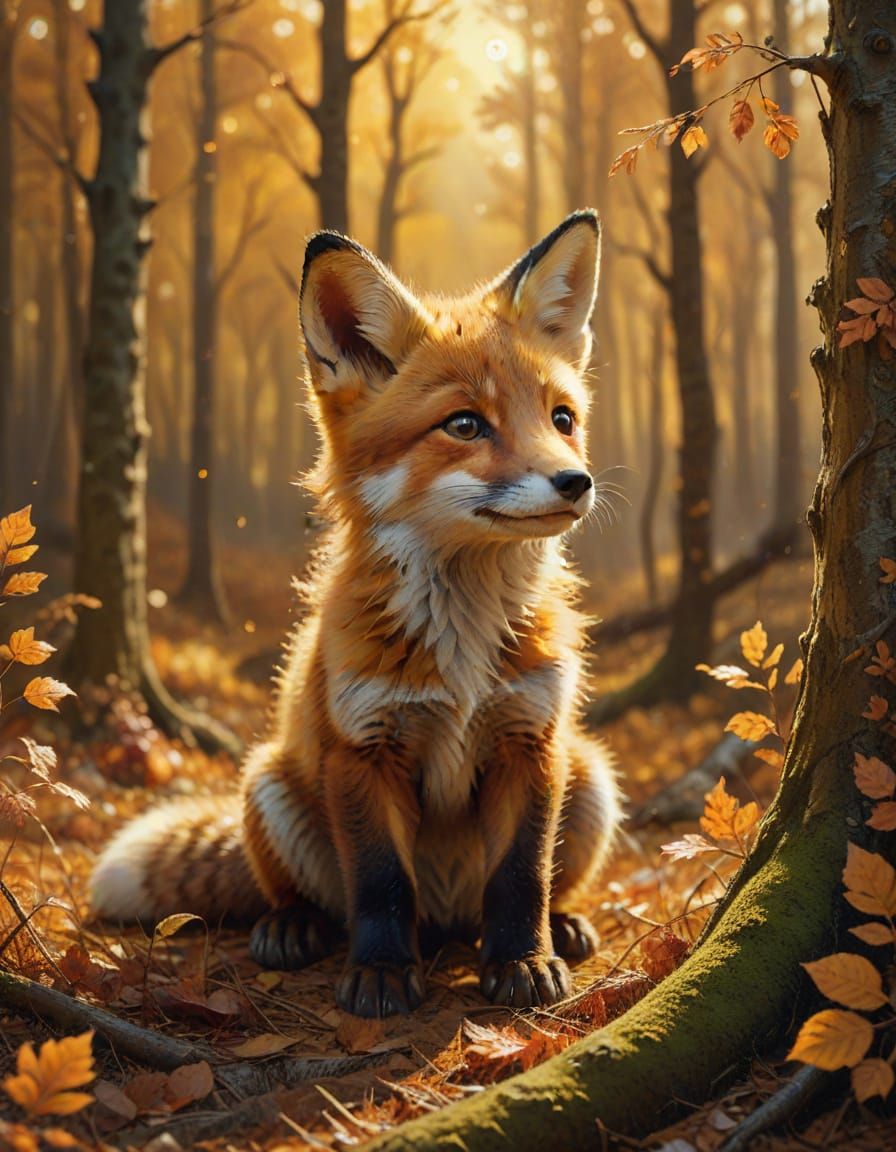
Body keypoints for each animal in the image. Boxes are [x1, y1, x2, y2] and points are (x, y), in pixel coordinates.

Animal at [91, 209, 621, 1018]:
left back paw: (559, 926)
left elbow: (521, 877)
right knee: (313, 897)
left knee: (525, 891)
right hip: (269, 783)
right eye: (465, 425)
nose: (576, 481)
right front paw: (379, 974)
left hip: (586, 772)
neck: (462, 649)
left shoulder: (529, 740)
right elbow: (380, 883)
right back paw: (293, 927)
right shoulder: (362, 747)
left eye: (562, 418)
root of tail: (447, 923)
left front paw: (522, 962)